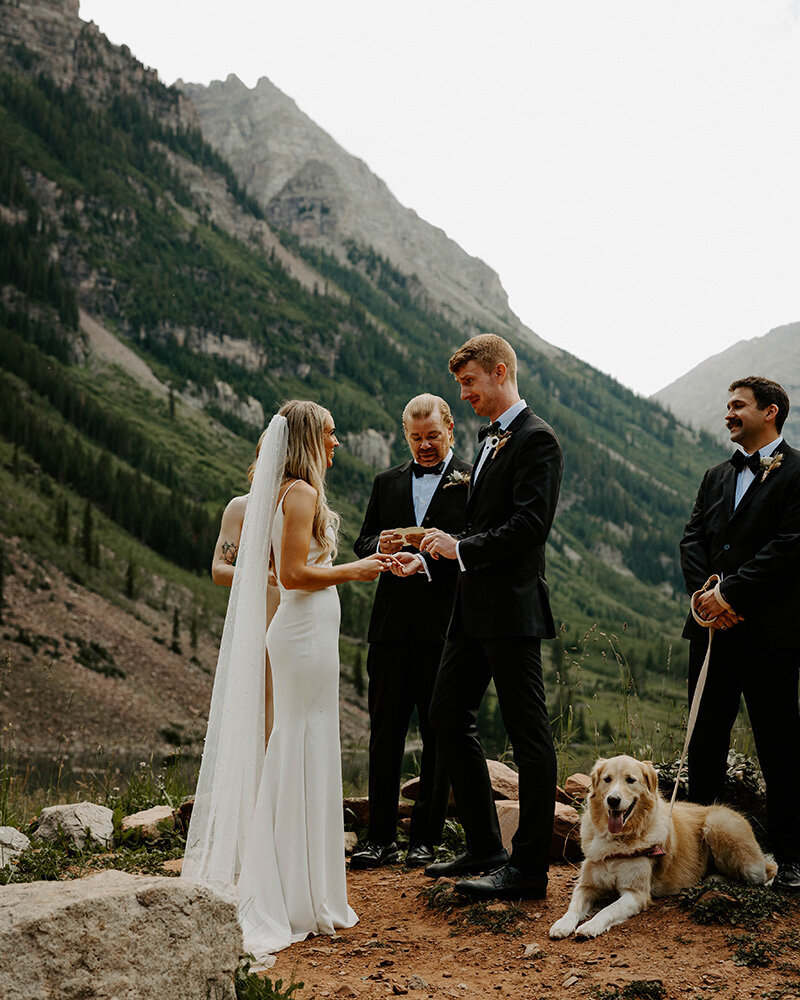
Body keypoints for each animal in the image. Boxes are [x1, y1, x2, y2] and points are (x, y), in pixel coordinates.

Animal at [552, 756, 776, 936]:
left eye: (630, 780)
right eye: (607, 779)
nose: (613, 800)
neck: (619, 839)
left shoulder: (636, 894)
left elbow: (608, 910)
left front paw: (591, 926)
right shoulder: (587, 885)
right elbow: (573, 906)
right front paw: (562, 924)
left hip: (720, 826)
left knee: (765, 873)